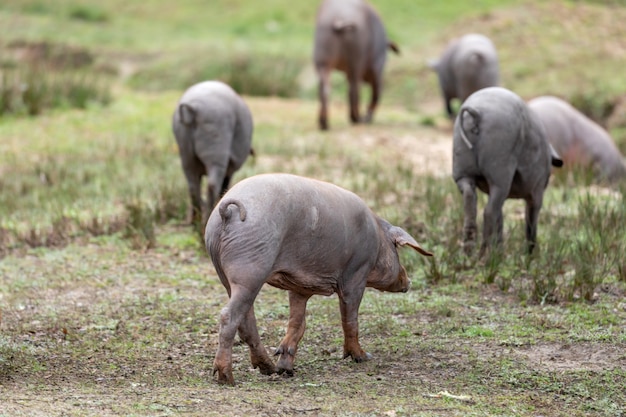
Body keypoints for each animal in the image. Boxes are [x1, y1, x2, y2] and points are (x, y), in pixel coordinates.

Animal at [172, 79, 252, 232]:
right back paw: (206, 219)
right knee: (212, 184)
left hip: (185, 151)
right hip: (216, 145)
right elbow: (224, 184)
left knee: (193, 187)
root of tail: (193, 109)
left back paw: (195, 222)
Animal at [207, 172, 432, 384]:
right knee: (228, 315)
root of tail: (228, 211)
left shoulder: (298, 287)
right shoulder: (356, 274)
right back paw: (226, 378)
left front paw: (286, 370)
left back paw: (269, 369)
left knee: (246, 321)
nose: (408, 281)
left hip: (223, 270)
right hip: (250, 270)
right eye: (397, 249)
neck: (377, 239)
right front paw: (363, 357)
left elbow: (298, 323)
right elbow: (350, 318)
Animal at [312, 0, 400, 129]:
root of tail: (339, 19)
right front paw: (366, 117)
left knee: (325, 89)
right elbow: (376, 93)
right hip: (356, 62)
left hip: (323, 60)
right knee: (356, 90)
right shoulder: (377, 69)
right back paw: (357, 118)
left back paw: (324, 123)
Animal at [450, 86, 564, 255]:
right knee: (489, 212)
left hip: (462, 170)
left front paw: (501, 252)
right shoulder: (537, 190)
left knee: (471, 201)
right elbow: (531, 220)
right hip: (500, 171)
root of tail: (476, 113)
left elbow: (501, 219)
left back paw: (469, 253)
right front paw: (530, 255)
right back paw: (484, 255)